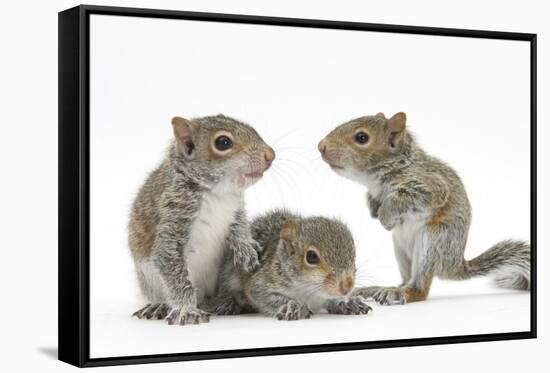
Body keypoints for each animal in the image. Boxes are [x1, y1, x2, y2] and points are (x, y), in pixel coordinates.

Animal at [129, 112, 276, 322]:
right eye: (223, 142)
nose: (270, 155)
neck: (217, 193)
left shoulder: (236, 208)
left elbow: (239, 226)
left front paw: (246, 248)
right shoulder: (173, 213)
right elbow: (169, 260)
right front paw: (186, 308)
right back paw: (160, 306)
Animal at [205, 209, 374, 320]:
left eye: (353, 252)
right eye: (311, 257)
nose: (347, 287)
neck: (309, 290)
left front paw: (347, 302)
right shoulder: (262, 282)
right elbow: (263, 295)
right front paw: (292, 306)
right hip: (230, 272)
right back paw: (227, 303)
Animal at [320, 112, 532, 304]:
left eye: (361, 138)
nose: (321, 146)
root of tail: (454, 266)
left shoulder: (431, 187)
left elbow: (406, 199)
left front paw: (386, 216)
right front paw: (374, 207)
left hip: (433, 242)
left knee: (419, 290)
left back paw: (400, 293)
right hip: (401, 249)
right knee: (405, 280)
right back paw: (378, 289)